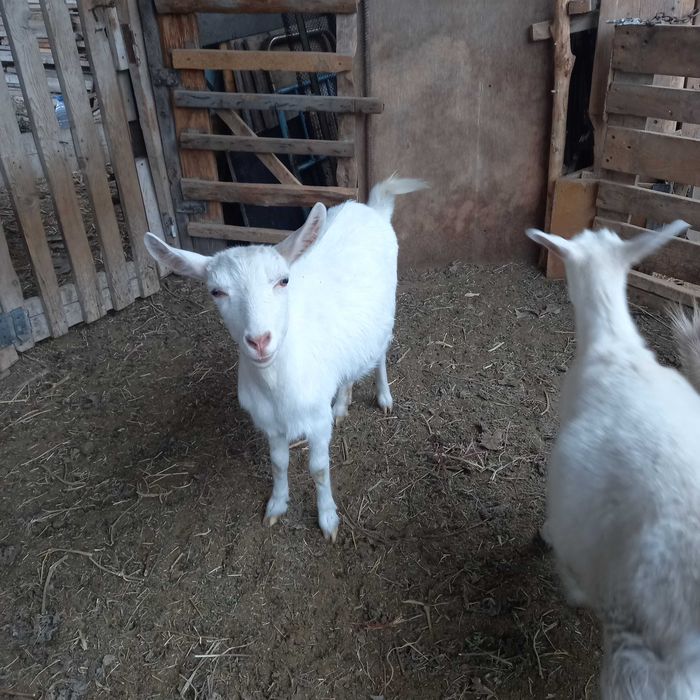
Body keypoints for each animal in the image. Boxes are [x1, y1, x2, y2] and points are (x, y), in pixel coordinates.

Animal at [144, 177, 426, 542]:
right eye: (216, 291)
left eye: (283, 280)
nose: (260, 340)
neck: (277, 385)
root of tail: (372, 208)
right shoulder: (270, 425)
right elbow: (278, 463)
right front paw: (276, 507)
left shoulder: (316, 423)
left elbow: (318, 469)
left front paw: (328, 519)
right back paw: (342, 404)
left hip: (385, 315)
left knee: (379, 356)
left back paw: (384, 397)